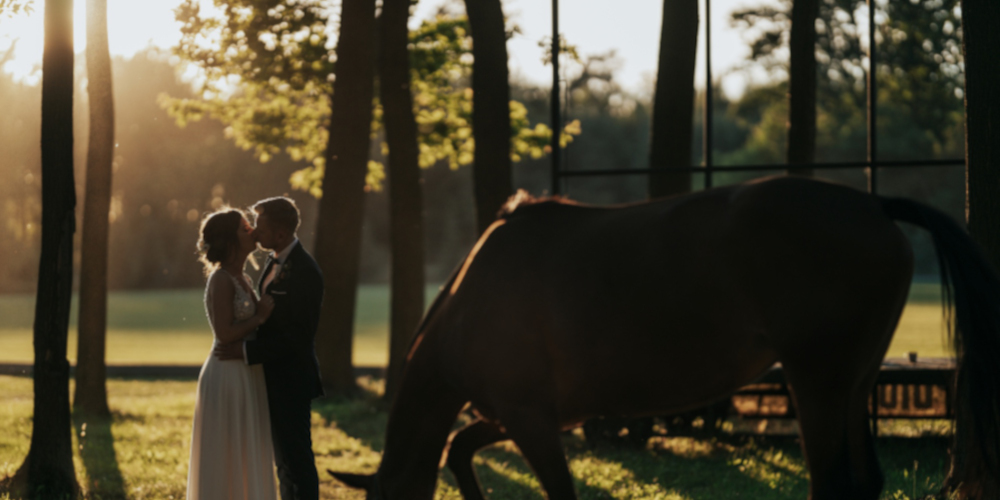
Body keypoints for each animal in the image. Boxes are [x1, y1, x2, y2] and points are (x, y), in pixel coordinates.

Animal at [334, 177, 1000, 500]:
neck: (472, 301)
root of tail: (874, 205)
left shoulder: (531, 420)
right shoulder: (530, 415)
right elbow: (460, 448)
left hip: (817, 382)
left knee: (833, 486)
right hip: (855, 382)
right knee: (863, 483)